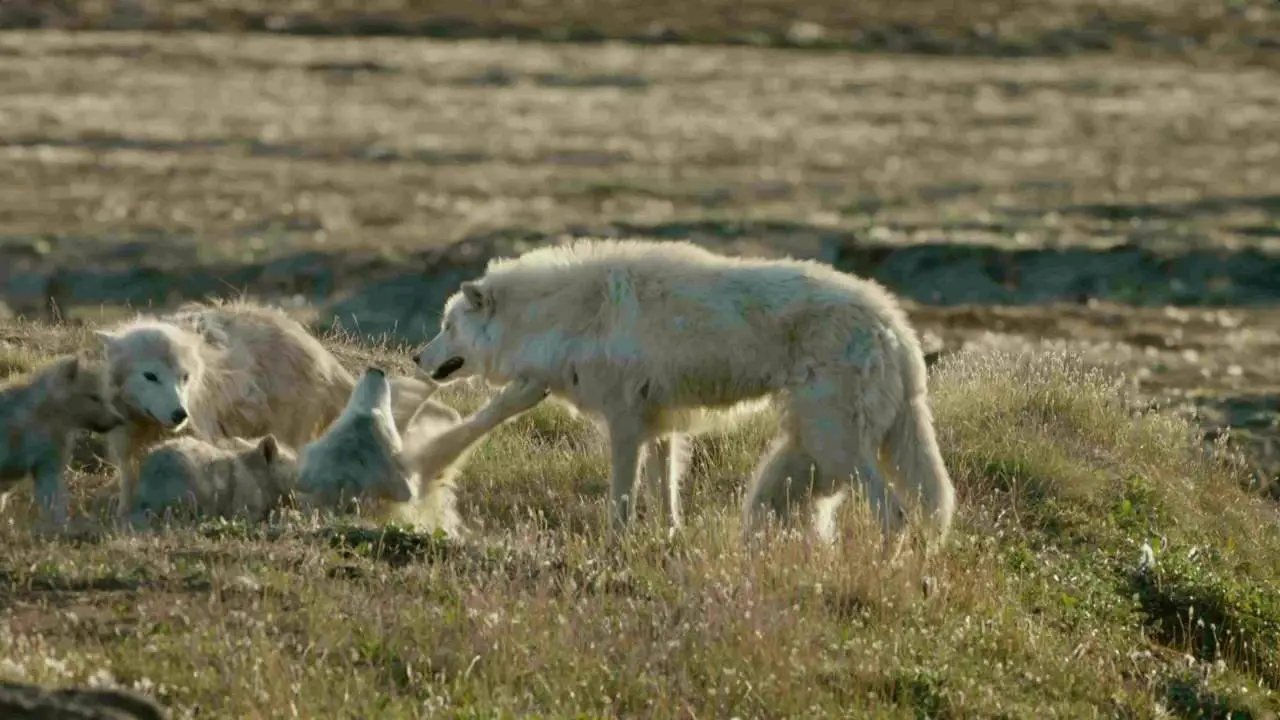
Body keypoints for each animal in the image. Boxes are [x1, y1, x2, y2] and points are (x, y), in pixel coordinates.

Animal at [414, 238, 957, 550]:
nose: (417, 358)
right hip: (824, 446)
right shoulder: (661, 425)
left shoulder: (626, 427)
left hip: (834, 441)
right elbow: (666, 496)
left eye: (446, 326)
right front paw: (668, 539)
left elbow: (622, 500)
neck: (567, 315)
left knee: (896, 514)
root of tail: (895, 324)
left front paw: (616, 550)